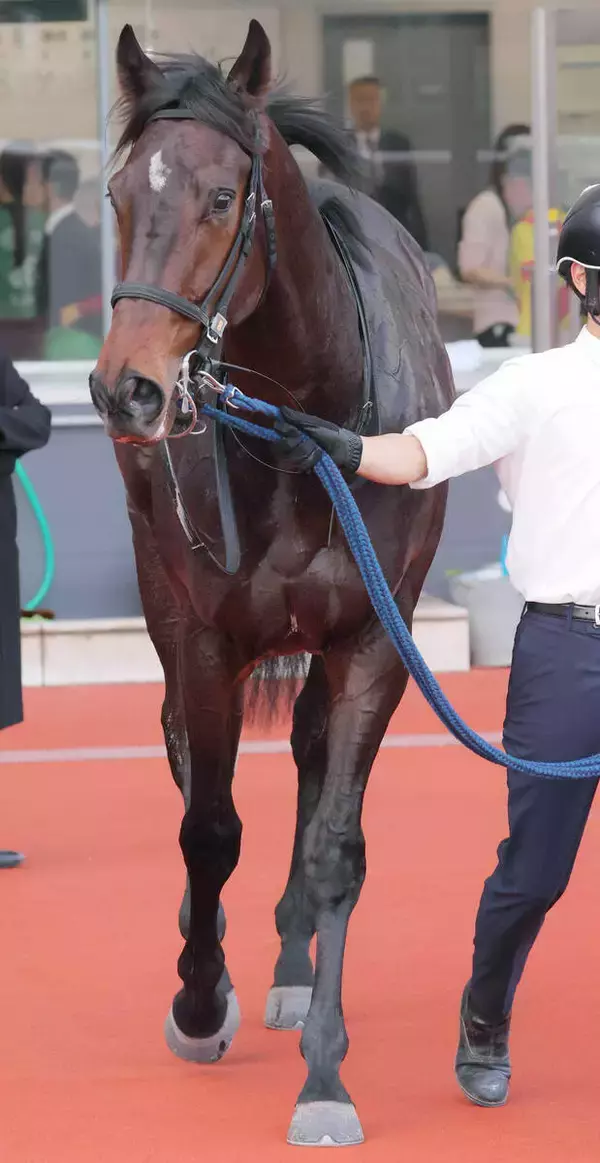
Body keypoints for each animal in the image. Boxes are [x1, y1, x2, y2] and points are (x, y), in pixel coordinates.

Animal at [90, 19, 454, 1147]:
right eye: (119, 196)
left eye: (221, 198)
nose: (123, 387)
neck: (303, 434)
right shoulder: (204, 631)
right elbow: (208, 827)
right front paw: (199, 999)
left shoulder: (377, 636)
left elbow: (336, 842)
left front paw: (326, 1075)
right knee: (184, 753)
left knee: (303, 753)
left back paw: (295, 962)